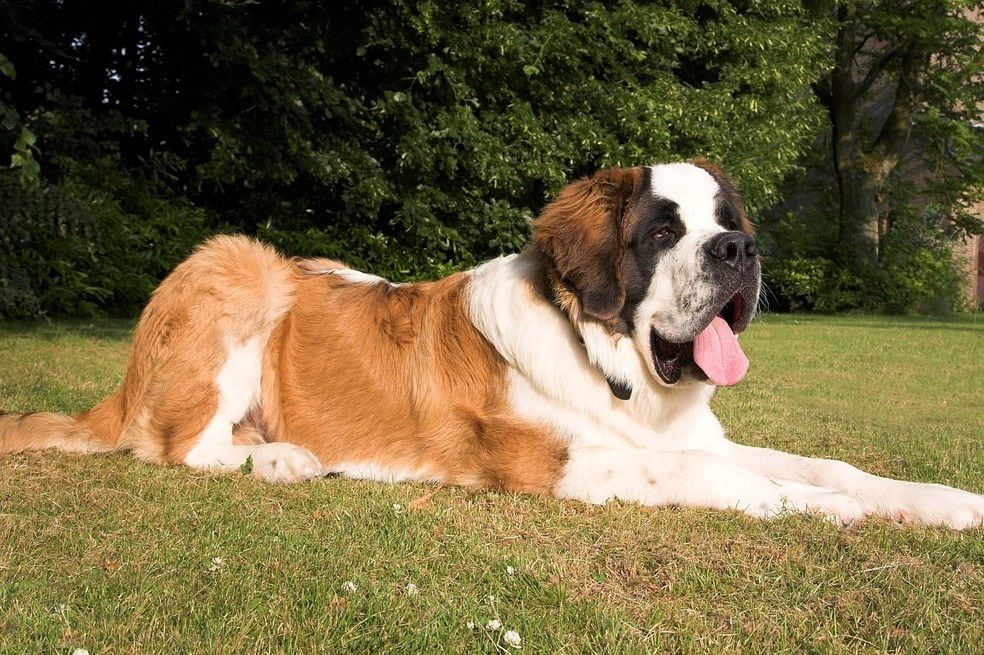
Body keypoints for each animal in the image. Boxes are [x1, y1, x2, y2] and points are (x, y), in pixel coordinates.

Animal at [2, 162, 982, 528]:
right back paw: (280, 458)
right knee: (179, 445)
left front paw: (939, 502)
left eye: (725, 220)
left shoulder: (682, 433)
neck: (608, 362)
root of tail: (124, 377)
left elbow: (817, 463)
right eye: (664, 231)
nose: (739, 250)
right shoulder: (554, 461)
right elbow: (722, 477)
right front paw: (829, 510)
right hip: (242, 265)